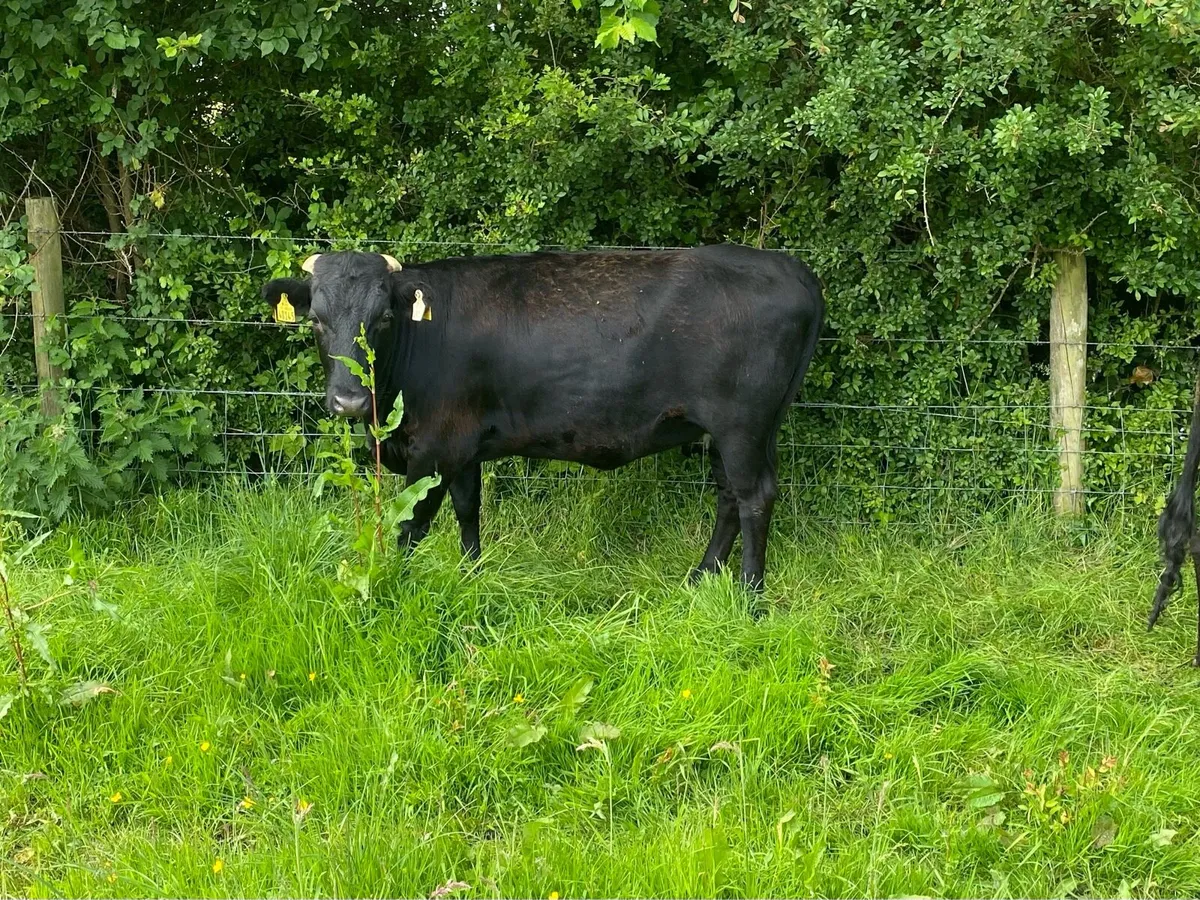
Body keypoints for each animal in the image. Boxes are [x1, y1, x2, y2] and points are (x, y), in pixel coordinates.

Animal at [261, 244, 824, 592]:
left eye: (381, 319)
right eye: (317, 321)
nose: (349, 403)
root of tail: (791, 268)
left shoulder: (433, 451)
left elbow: (410, 526)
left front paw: (396, 586)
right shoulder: (463, 446)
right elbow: (468, 510)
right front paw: (471, 576)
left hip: (741, 426)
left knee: (753, 497)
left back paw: (750, 597)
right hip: (734, 430)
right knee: (729, 496)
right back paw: (700, 578)